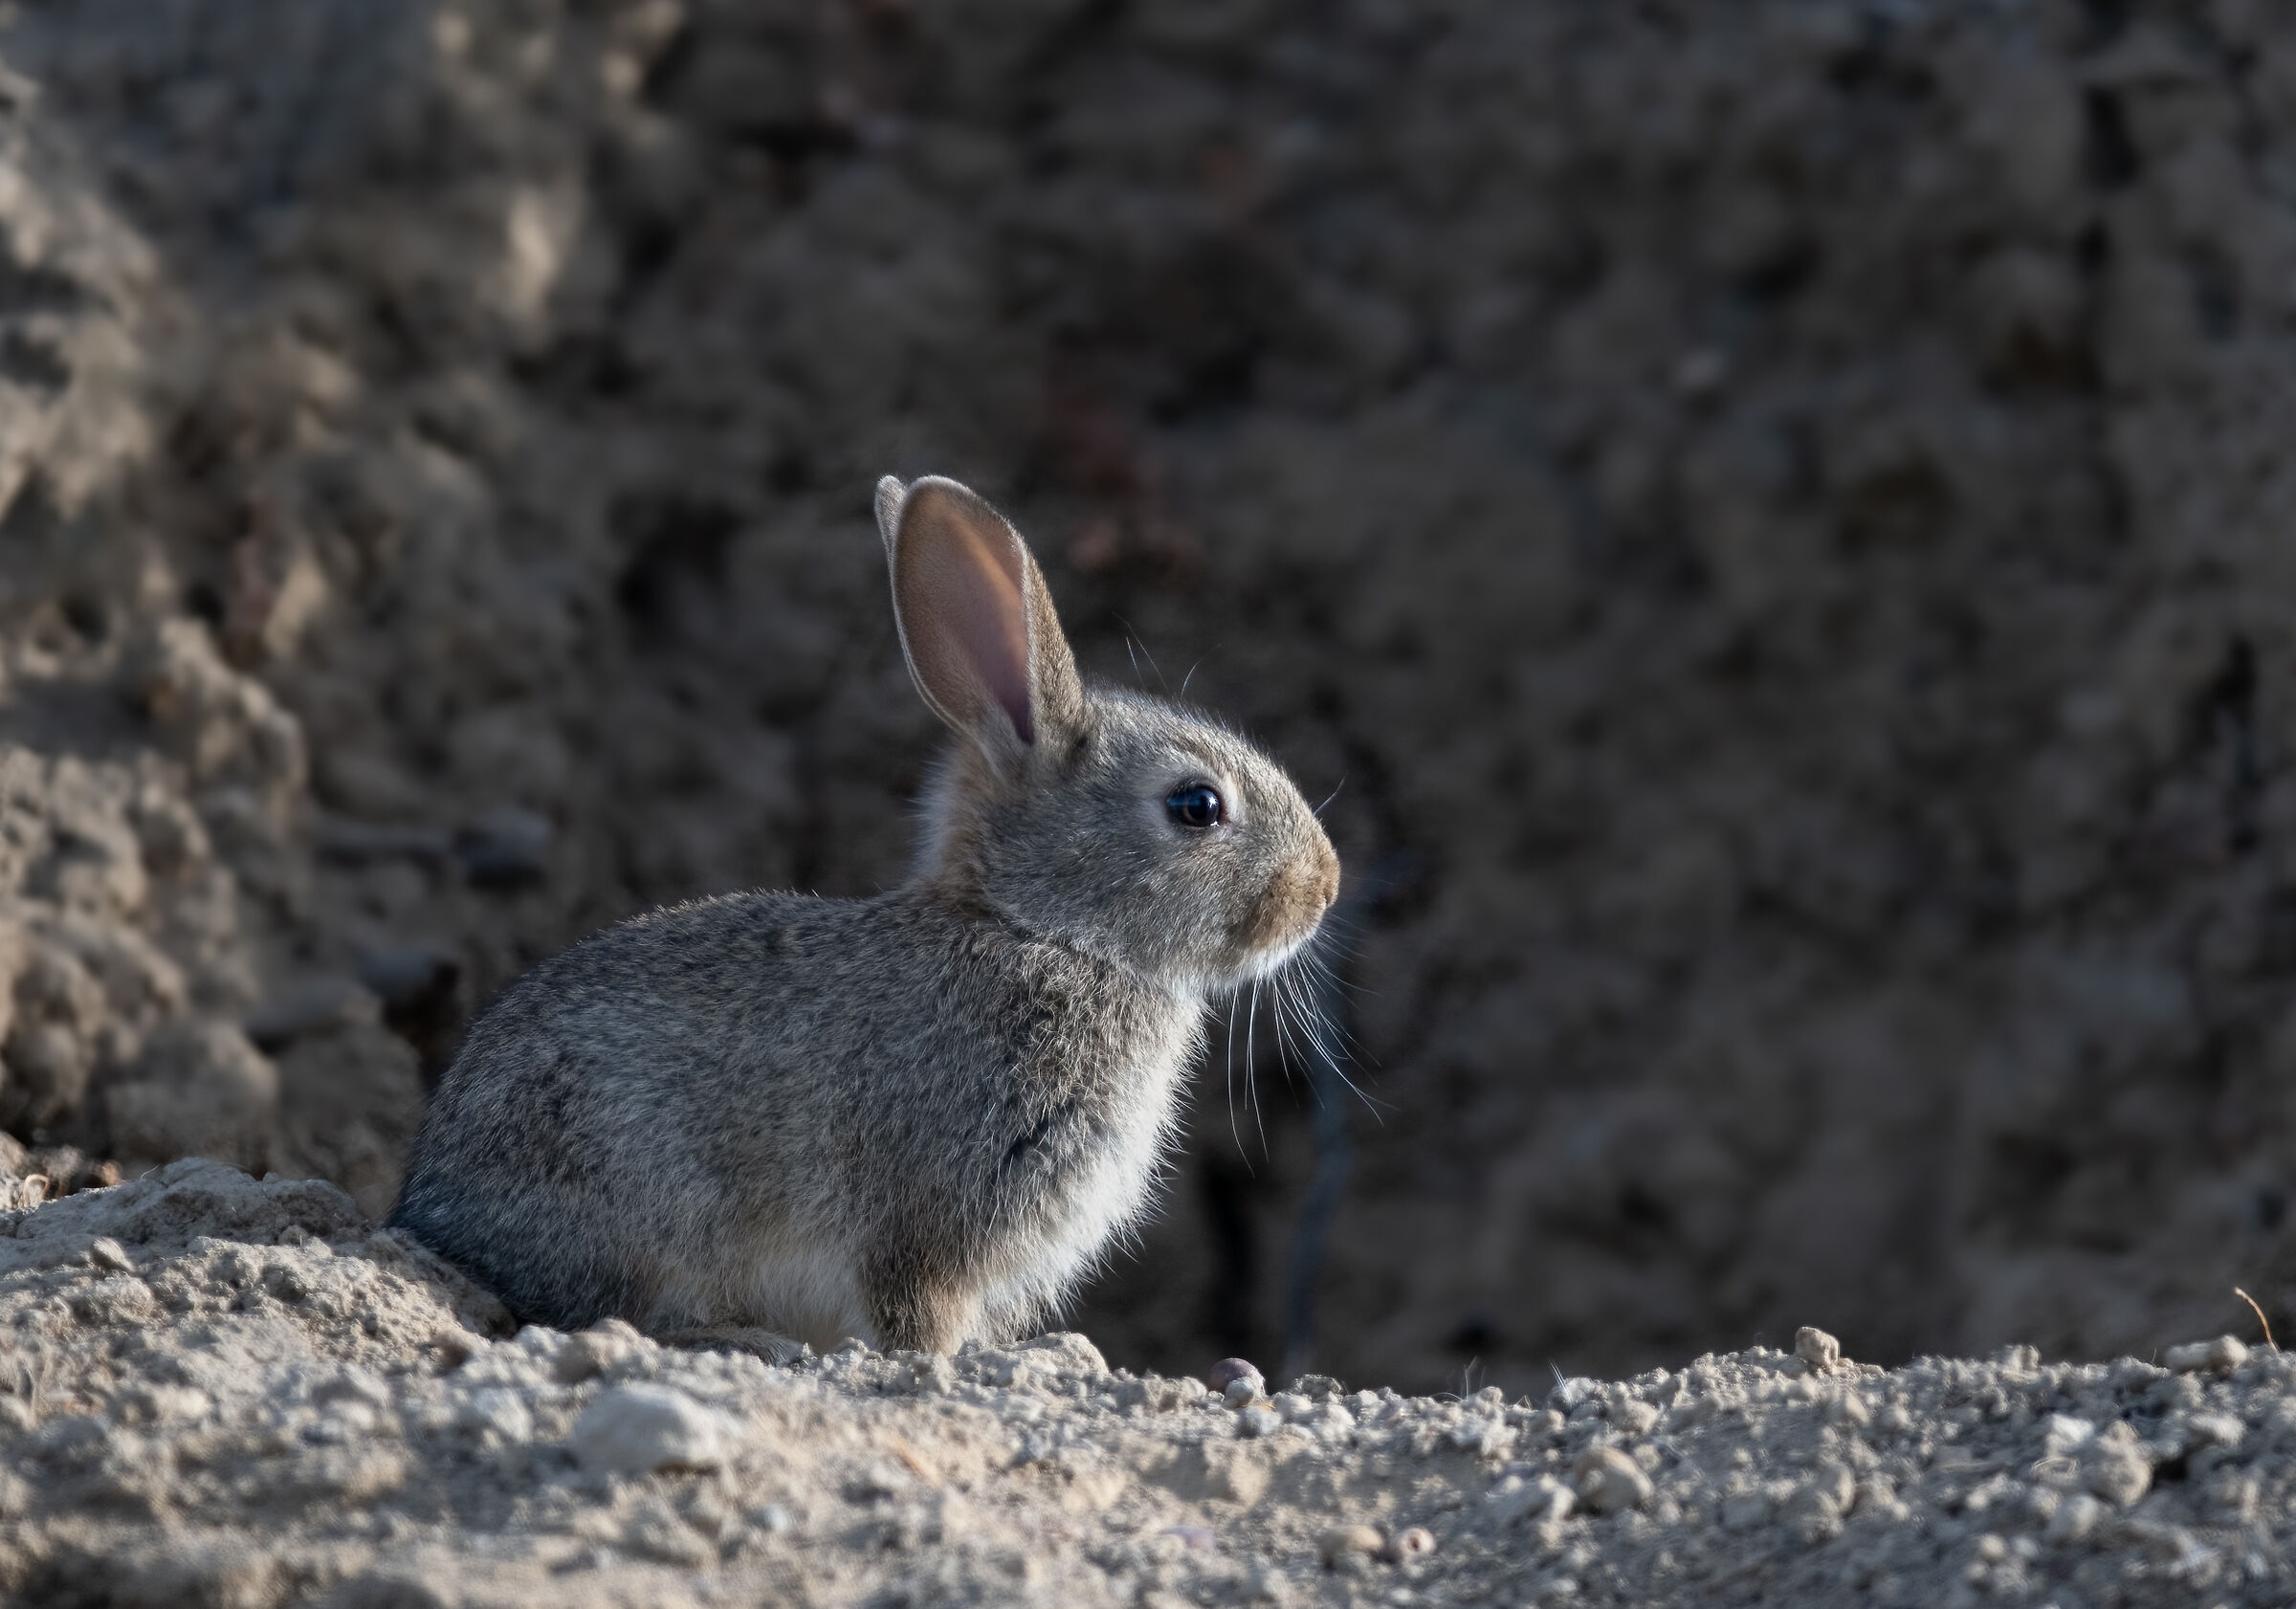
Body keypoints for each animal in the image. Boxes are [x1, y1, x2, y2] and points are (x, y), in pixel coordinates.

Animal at [388, 474, 1340, 1358]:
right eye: (1196, 806)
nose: (1326, 886)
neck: (1040, 931)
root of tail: (430, 1214)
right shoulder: (935, 1214)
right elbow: (915, 1310)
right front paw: (939, 1366)